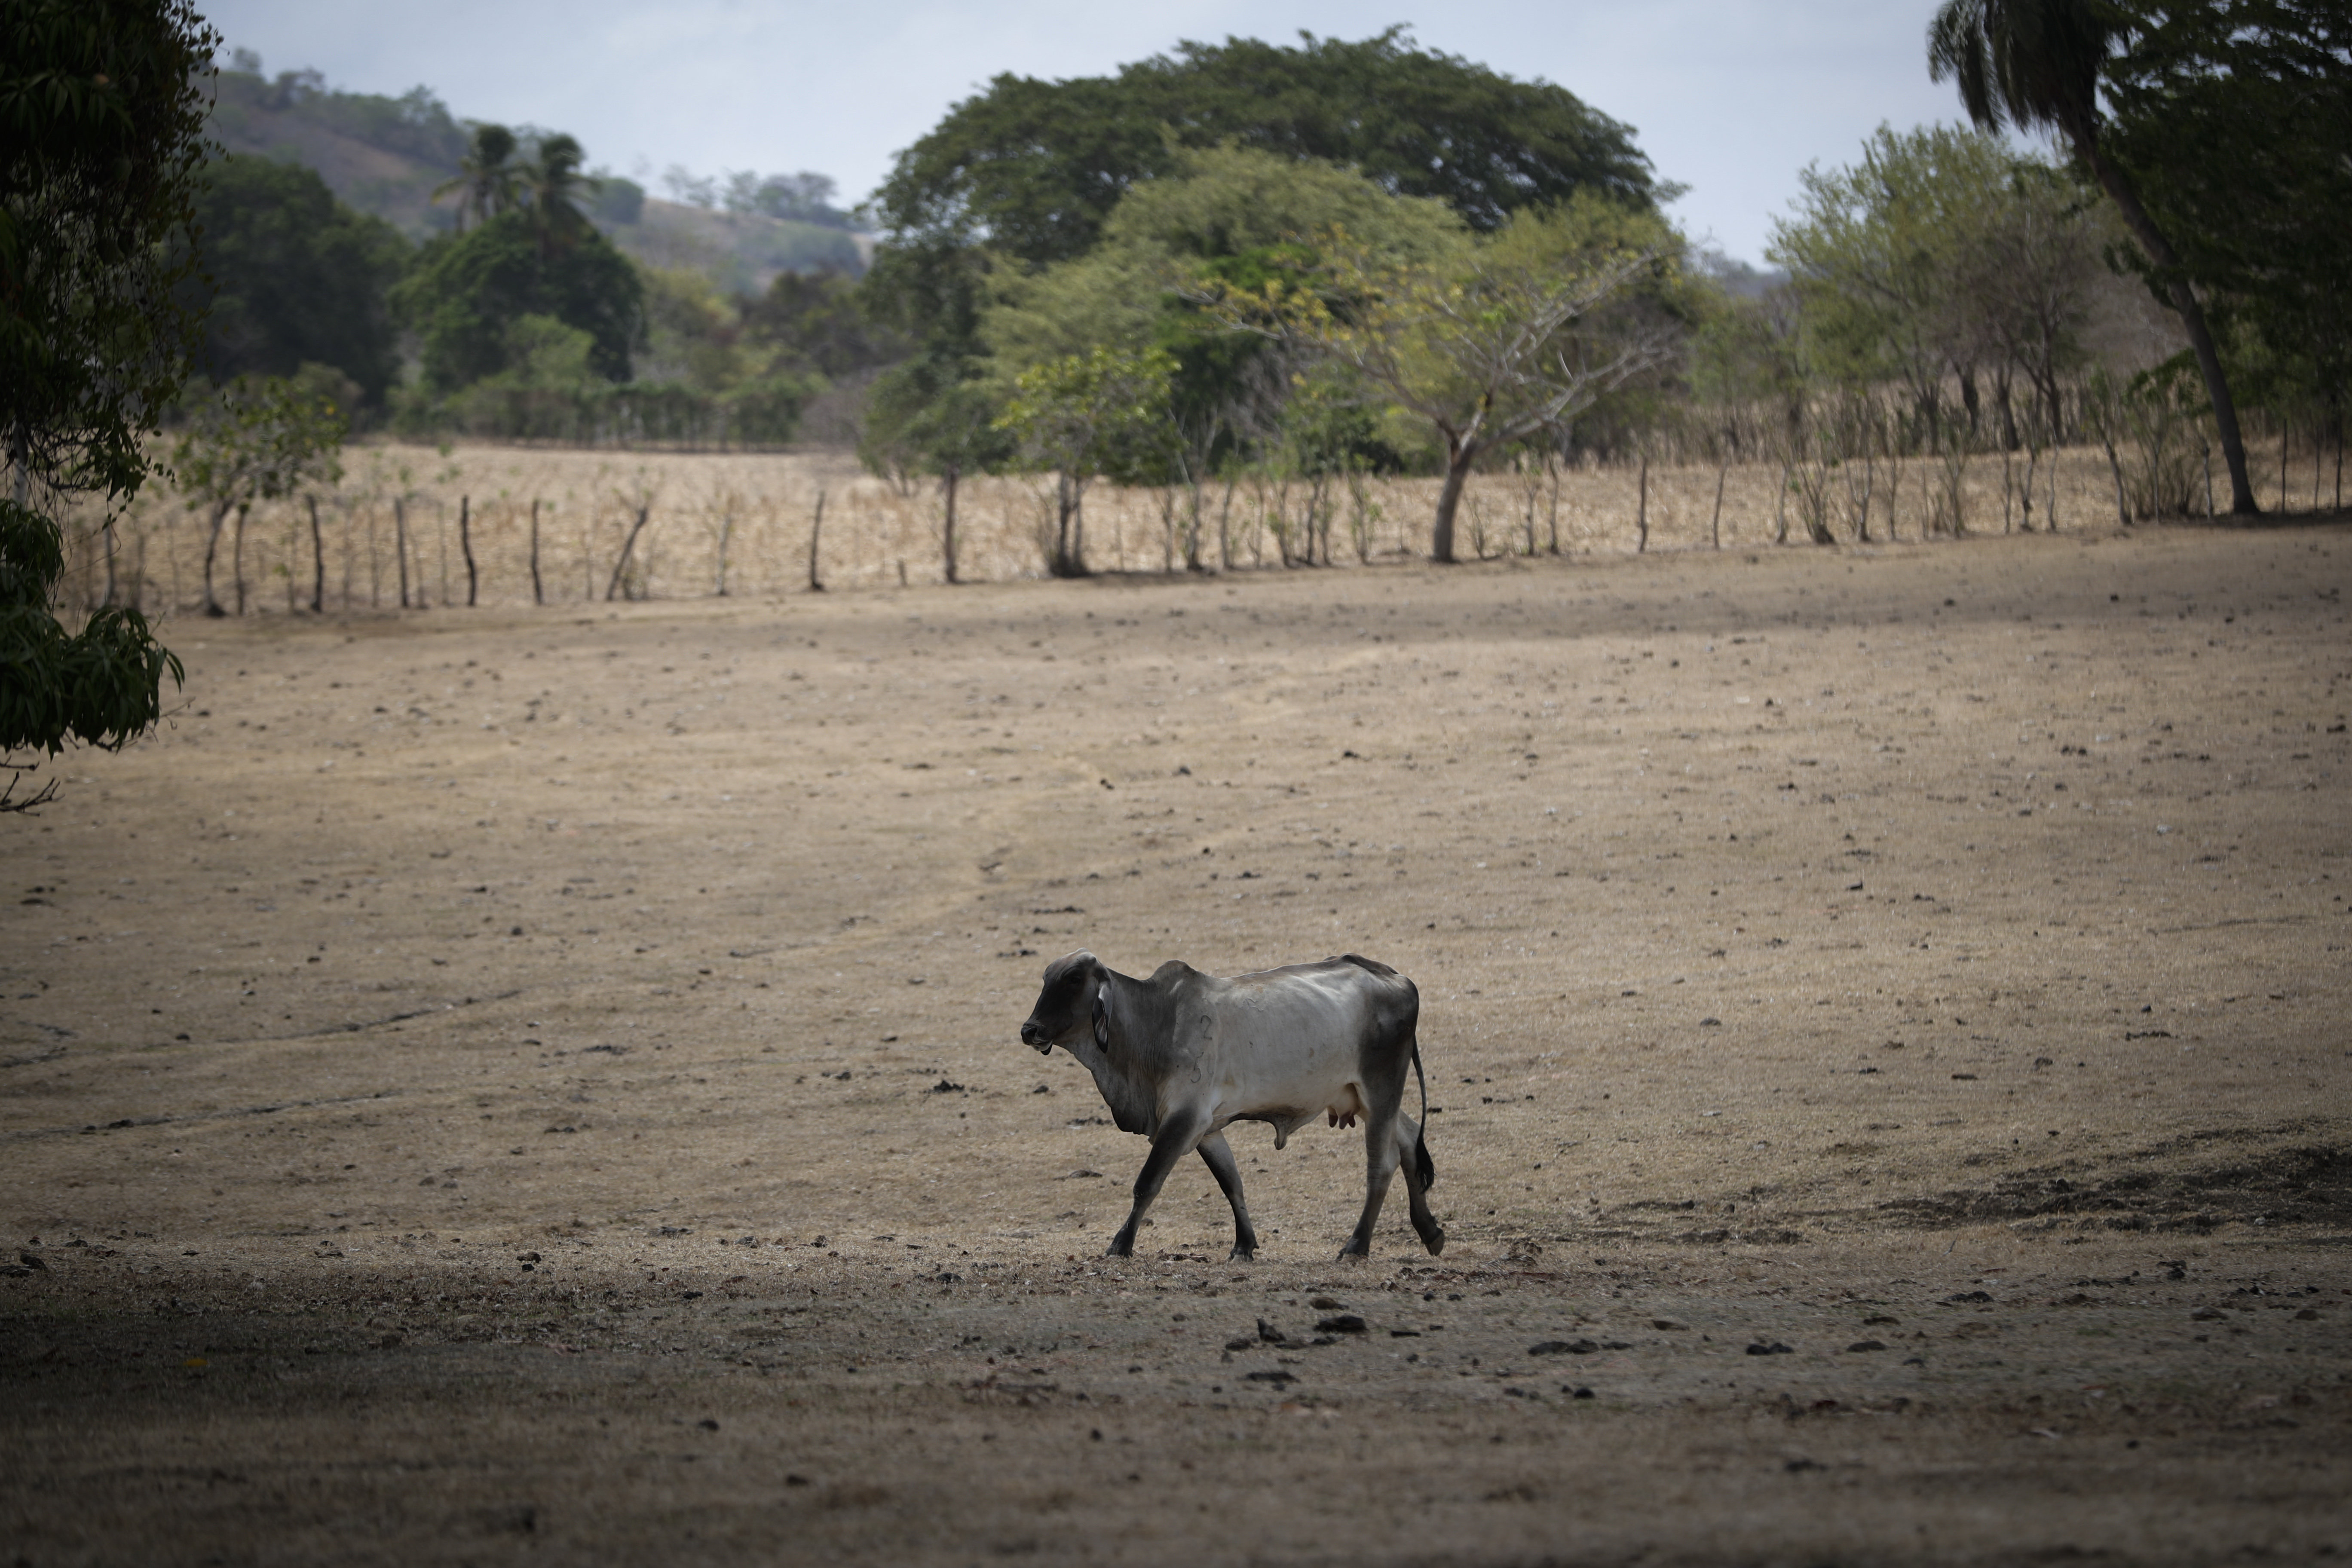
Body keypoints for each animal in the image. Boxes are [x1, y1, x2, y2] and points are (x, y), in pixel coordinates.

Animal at [1019, 950, 1443, 1262]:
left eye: (1074, 979)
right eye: (1045, 979)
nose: (1029, 1030)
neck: (1155, 1023)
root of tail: (1396, 977)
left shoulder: (1185, 1118)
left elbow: (1147, 1183)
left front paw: (1121, 1244)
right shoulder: (1208, 1128)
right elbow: (1232, 1184)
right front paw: (1244, 1245)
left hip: (1382, 1088)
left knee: (1381, 1165)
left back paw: (1356, 1247)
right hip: (1364, 1096)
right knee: (1409, 1140)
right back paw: (1430, 1231)